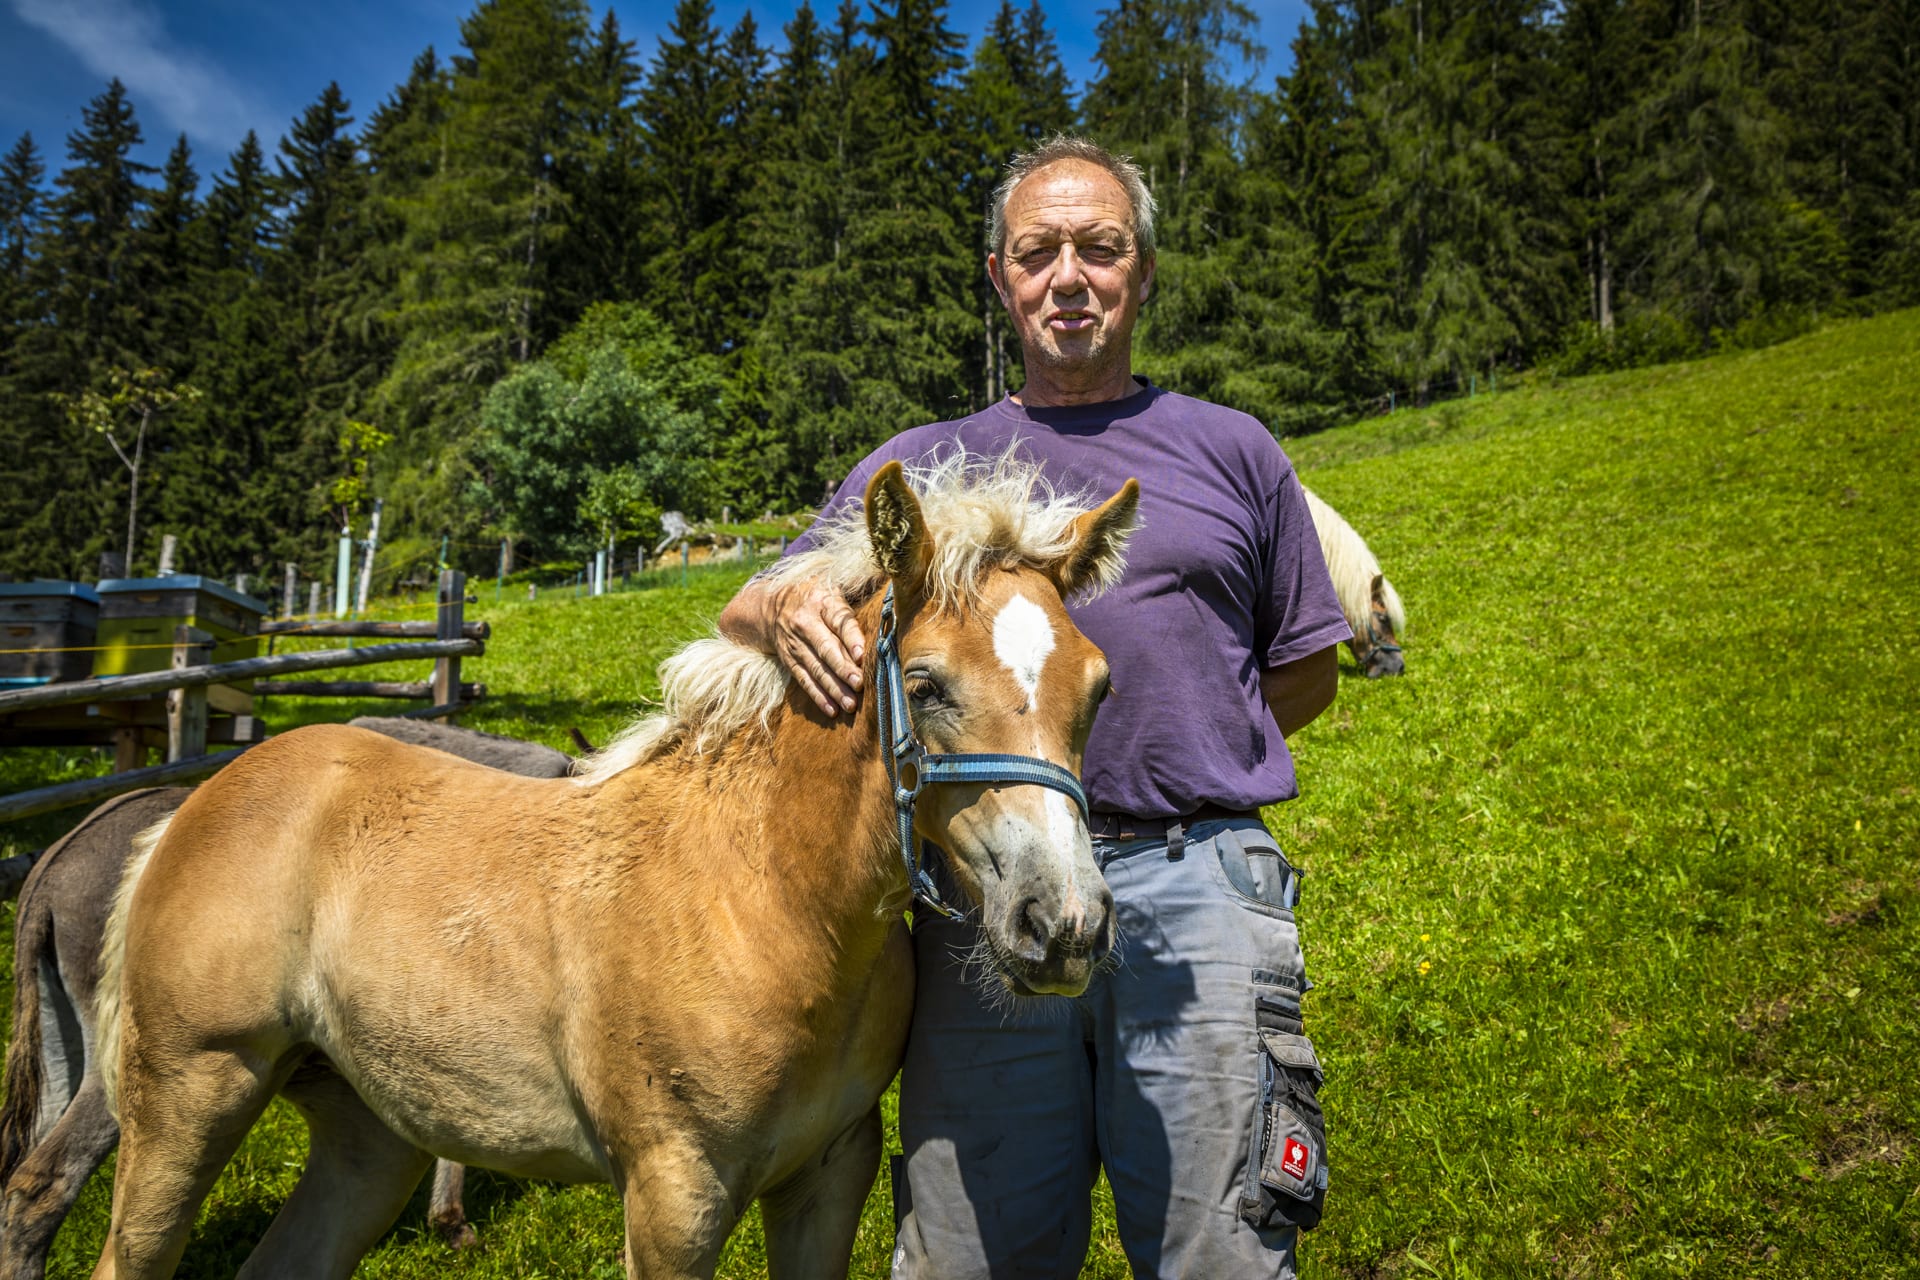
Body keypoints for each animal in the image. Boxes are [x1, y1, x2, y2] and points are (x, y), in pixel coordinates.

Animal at [88, 455, 1138, 1280]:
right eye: (924, 686)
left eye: (1098, 687)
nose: (1064, 924)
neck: (764, 898)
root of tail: (190, 807)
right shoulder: (675, 1192)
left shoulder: (829, 1174)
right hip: (190, 1095)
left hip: (369, 1137)